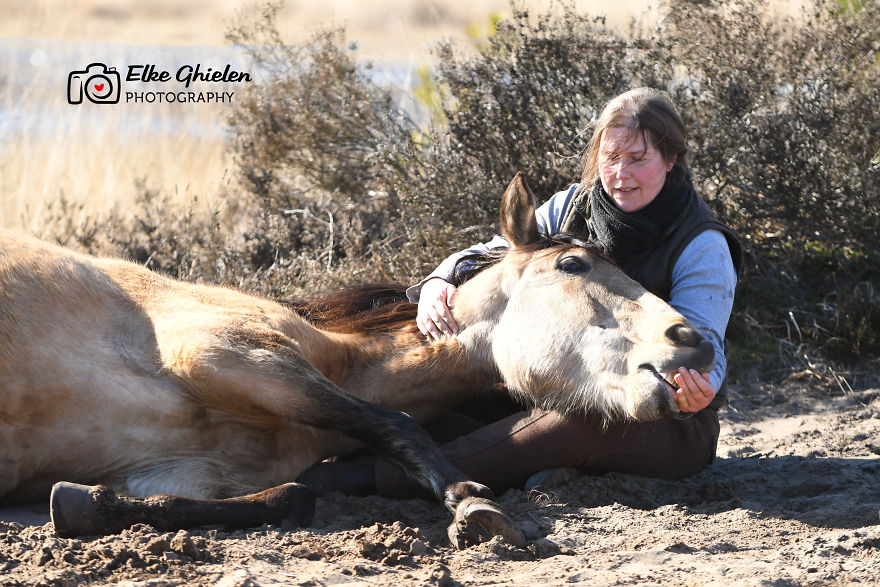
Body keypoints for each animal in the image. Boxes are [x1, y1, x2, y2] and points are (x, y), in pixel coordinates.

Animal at [0, 172, 715, 548]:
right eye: (573, 264)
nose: (695, 342)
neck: (339, 355)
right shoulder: (224, 351)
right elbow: (393, 422)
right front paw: (468, 501)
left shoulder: (182, 475)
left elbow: (284, 495)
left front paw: (80, 503)